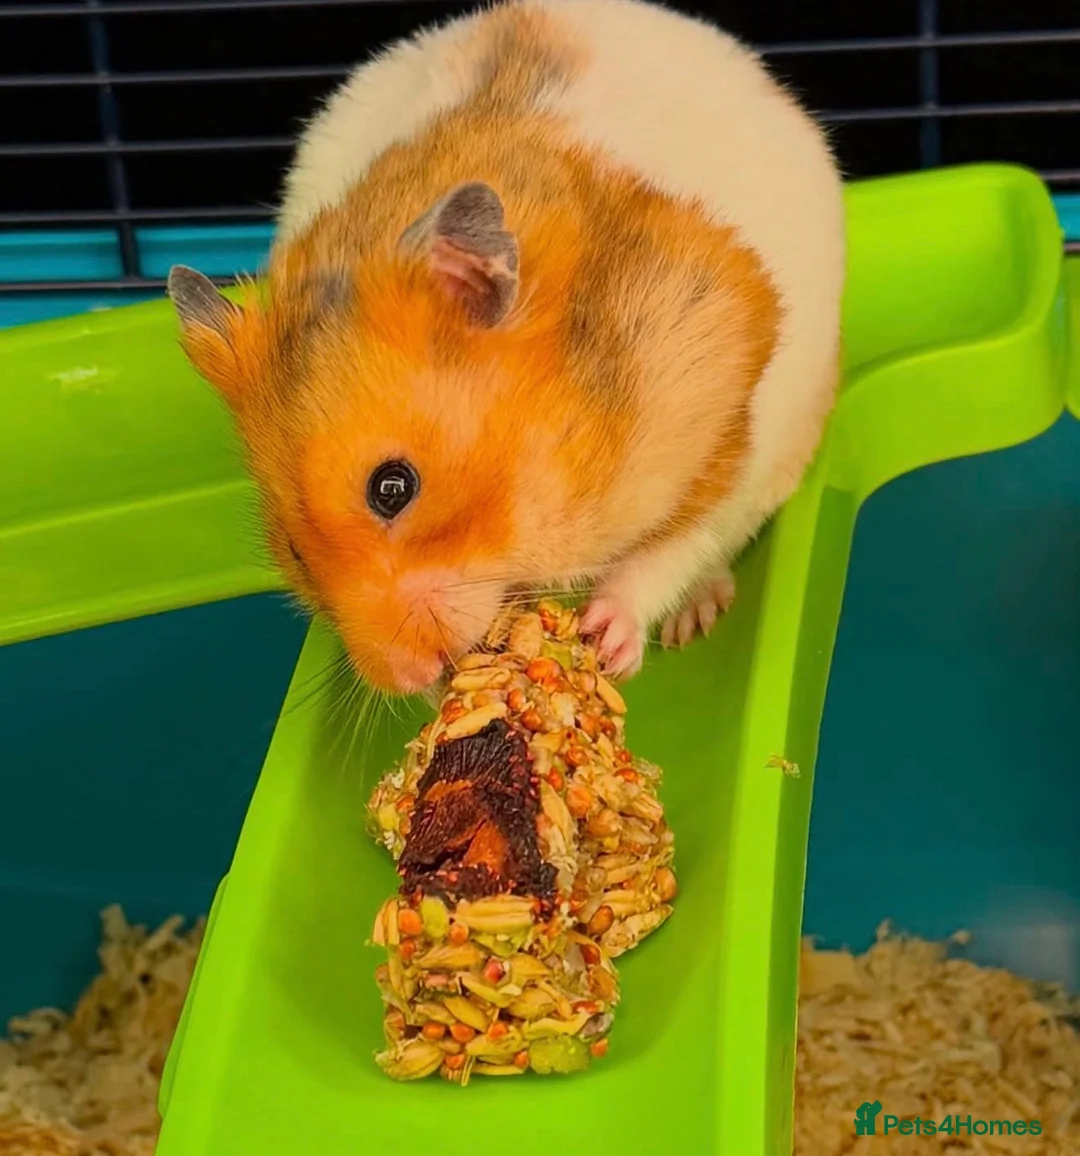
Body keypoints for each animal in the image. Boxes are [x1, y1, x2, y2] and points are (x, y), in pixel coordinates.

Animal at [167, 0, 845, 695]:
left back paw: (694, 620)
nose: (407, 677)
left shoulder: (731, 416)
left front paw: (607, 638)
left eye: (392, 488)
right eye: (294, 549)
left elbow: (678, 544)